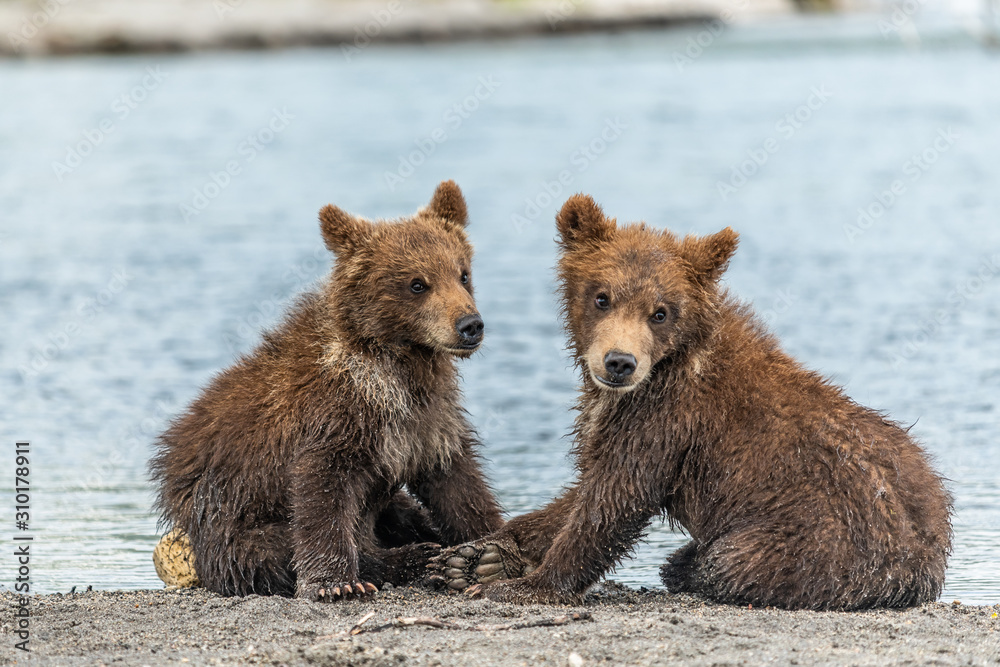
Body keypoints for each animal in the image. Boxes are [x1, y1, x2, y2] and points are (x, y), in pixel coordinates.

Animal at [150, 180, 505, 601]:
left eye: (462, 273)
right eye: (417, 283)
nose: (469, 324)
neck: (399, 363)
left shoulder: (429, 420)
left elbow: (457, 481)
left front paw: (489, 545)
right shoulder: (336, 413)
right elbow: (321, 489)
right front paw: (336, 582)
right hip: (233, 521)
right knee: (272, 554)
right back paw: (414, 558)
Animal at [429, 193, 953, 610]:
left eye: (660, 312)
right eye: (602, 296)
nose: (619, 362)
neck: (668, 364)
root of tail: (929, 556)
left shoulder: (667, 418)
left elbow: (614, 499)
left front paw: (527, 584)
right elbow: (585, 487)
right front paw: (480, 557)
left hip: (817, 543)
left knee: (731, 562)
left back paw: (686, 564)